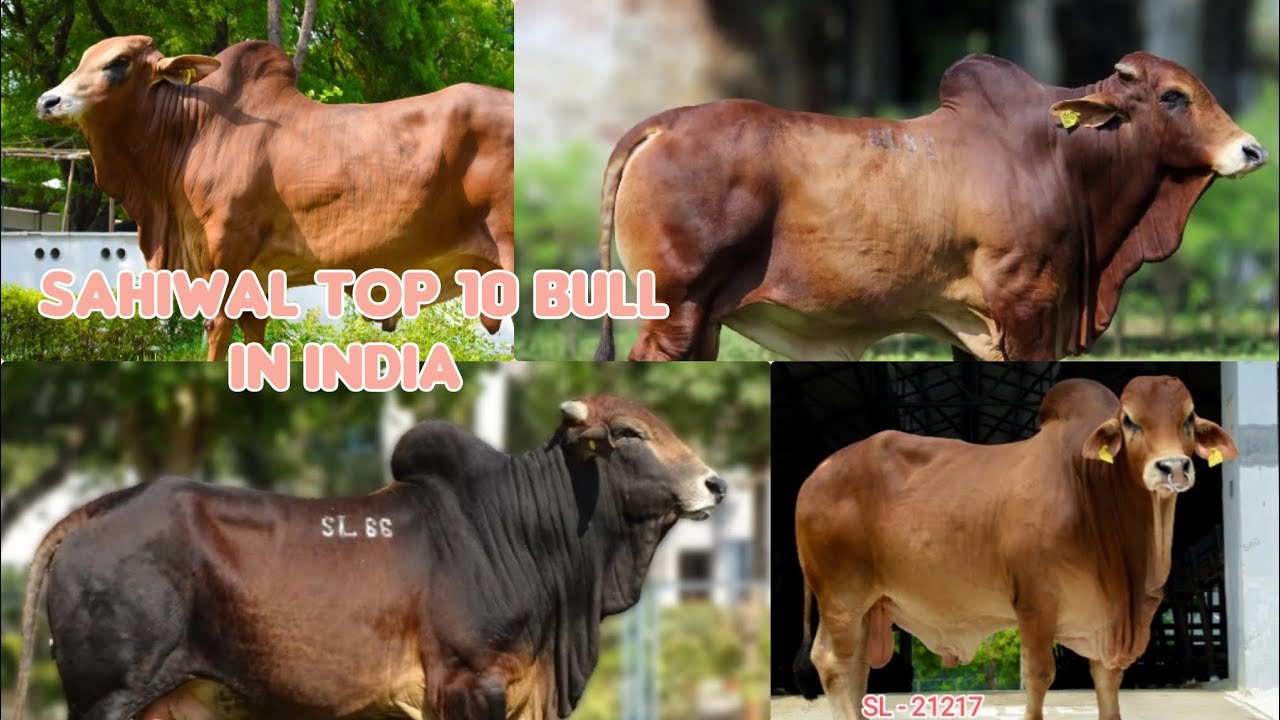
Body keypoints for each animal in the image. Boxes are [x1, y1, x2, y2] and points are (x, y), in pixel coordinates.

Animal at [37, 35, 514, 361]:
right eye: (82, 59)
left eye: (118, 63)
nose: (47, 101)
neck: (192, 131)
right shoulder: (259, 275)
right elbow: (254, 335)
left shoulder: (227, 249)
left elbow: (217, 329)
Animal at [593, 52, 1268, 361]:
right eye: (1174, 96)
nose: (1253, 149)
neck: (1062, 154)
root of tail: (666, 123)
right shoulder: (1025, 306)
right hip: (677, 312)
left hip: (701, 323)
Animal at [790, 376, 1238, 720]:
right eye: (1130, 420)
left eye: (1189, 418)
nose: (1173, 468)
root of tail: (816, 474)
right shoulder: (1036, 603)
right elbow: (1039, 676)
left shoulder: (1104, 631)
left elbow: (1108, 689)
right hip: (842, 598)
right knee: (834, 663)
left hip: (867, 606)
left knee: (856, 669)